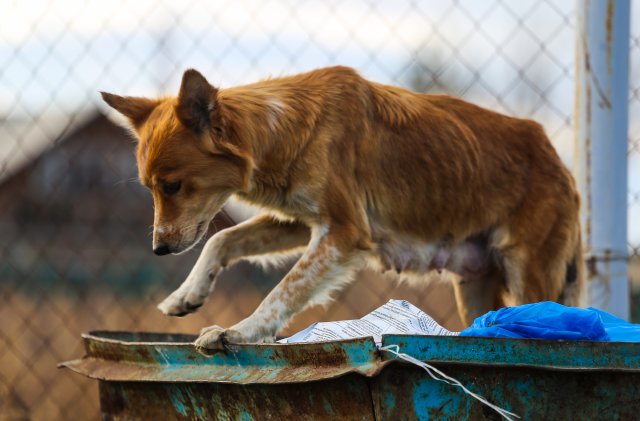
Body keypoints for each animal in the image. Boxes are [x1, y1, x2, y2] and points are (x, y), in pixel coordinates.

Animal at [101, 65, 584, 348]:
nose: (159, 249)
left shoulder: (345, 233)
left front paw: (243, 331)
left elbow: (285, 290)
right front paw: (187, 294)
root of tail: (559, 161)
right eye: (149, 188)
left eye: (173, 186)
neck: (288, 129)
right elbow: (223, 240)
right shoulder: (302, 221)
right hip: (474, 291)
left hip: (529, 275)